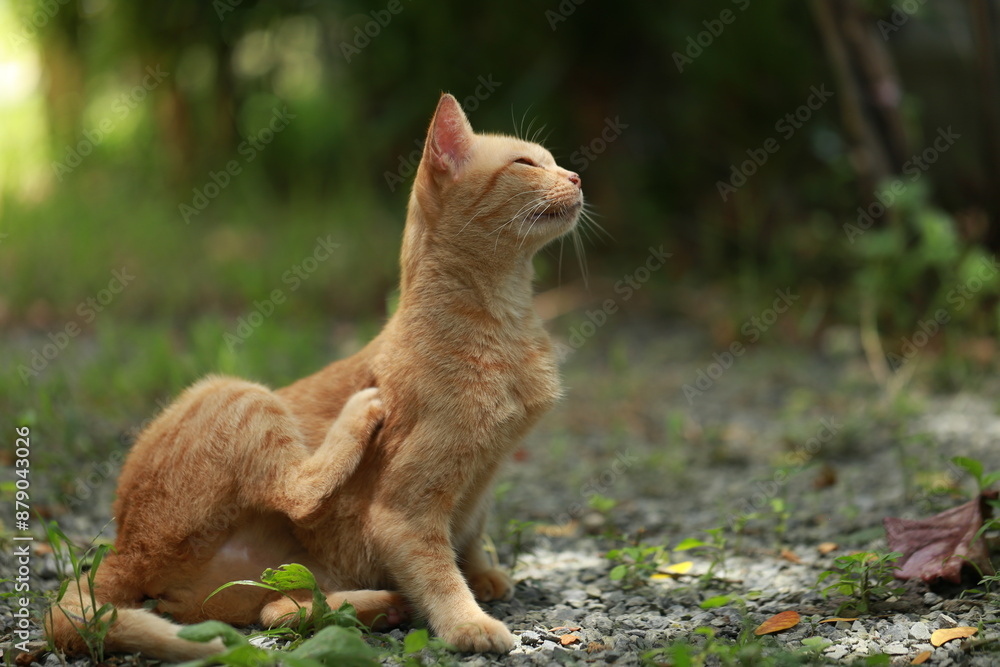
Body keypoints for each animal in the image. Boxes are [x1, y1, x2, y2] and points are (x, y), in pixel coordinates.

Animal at [48, 92, 583, 660]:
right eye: (526, 164)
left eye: (552, 161)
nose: (575, 176)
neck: (506, 318)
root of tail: (120, 547)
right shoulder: (403, 511)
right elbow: (437, 571)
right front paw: (470, 624)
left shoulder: (483, 483)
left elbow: (474, 530)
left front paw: (482, 573)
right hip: (239, 393)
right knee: (297, 496)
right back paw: (359, 419)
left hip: (262, 578)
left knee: (279, 610)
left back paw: (383, 604)